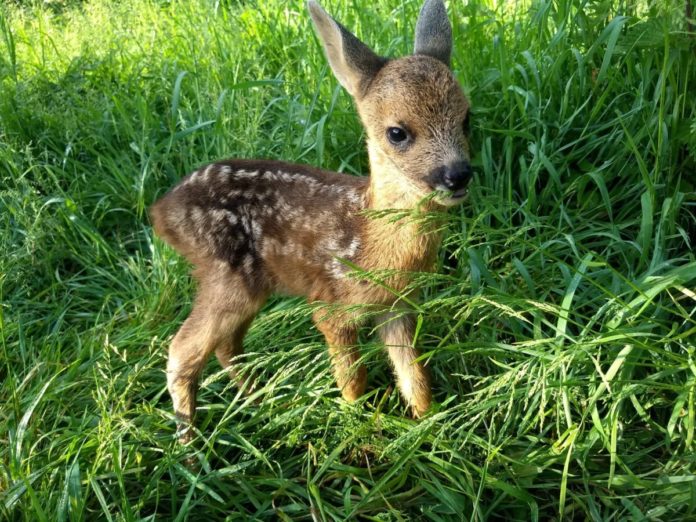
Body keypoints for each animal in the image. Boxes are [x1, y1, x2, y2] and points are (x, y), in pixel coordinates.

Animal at [150, 0, 470, 438]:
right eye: (397, 132)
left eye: (467, 118)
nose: (458, 174)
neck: (371, 241)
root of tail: (160, 211)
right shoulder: (331, 305)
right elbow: (353, 379)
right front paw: (357, 424)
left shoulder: (396, 306)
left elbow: (414, 375)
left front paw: (428, 424)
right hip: (226, 274)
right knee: (181, 350)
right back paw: (191, 441)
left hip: (249, 286)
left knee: (226, 346)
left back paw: (262, 400)